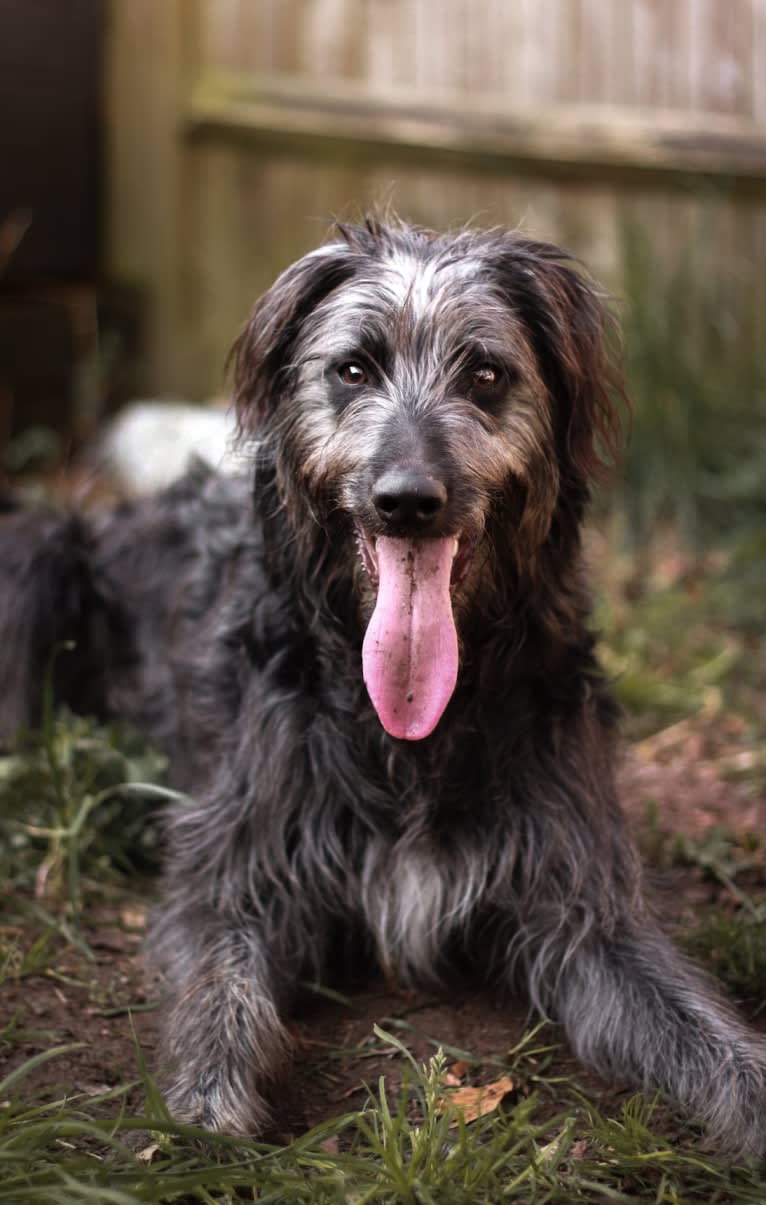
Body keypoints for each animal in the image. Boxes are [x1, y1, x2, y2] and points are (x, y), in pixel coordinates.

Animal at [1, 219, 766, 1156]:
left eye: (486, 373)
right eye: (354, 369)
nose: (407, 501)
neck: (409, 730)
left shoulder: (584, 903)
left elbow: (698, 1023)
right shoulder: (237, 864)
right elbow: (219, 974)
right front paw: (206, 1106)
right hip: (35, 554)